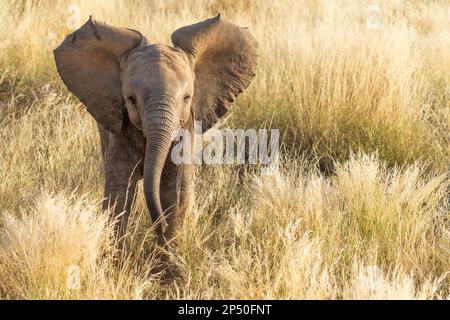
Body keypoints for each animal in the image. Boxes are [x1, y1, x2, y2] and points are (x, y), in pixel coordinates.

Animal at [53, 14, 256, 245]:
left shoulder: (185, 130)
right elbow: (120, 189)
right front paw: (115, 255)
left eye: (187, 98)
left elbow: (174, 191)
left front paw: (167, 251)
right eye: (130, 99)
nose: (160, 226)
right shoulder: (119, 130)